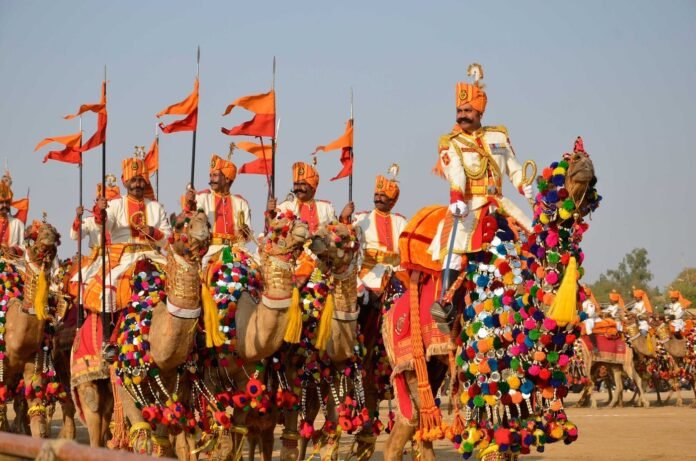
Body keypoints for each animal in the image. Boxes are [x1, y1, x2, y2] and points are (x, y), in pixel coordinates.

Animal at [384, 140, 600, 460]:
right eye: (558, 168)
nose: (582, 159)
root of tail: (389, 312)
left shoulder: (526, 383)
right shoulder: (489, 372)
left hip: (432, 366)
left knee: (414, 430)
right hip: (409, 362)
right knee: (410, 425)